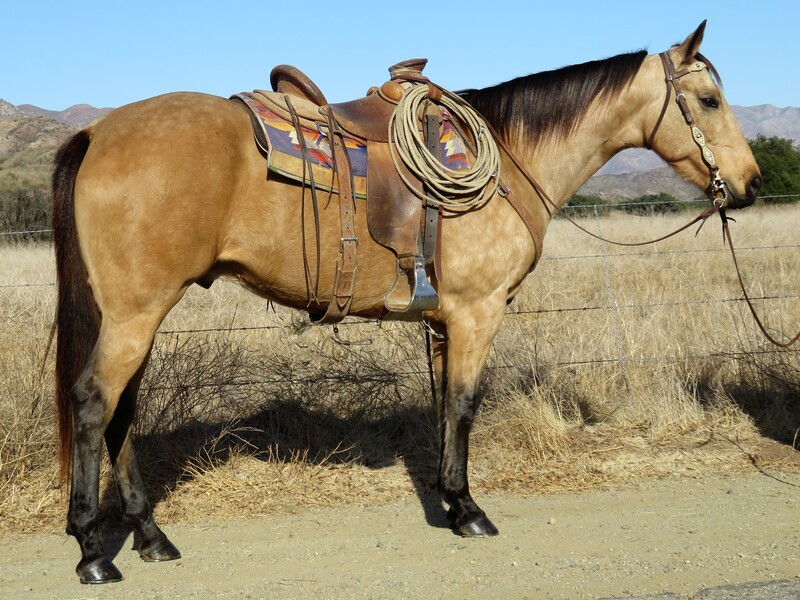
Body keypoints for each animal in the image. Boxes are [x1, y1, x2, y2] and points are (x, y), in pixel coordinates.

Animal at [53, 22, 760, 580]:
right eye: (708, 99)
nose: (750, 183)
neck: (510, 158)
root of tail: (98, 131)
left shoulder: (446, 322)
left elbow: (445, 405)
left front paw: (450, 501)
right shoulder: (478, 312)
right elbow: (465, 405)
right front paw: (468, 509)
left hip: (137, 316)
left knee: (121, 413)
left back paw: (150, 537)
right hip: (135, 315)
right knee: (93, 404)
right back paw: (92, 549)